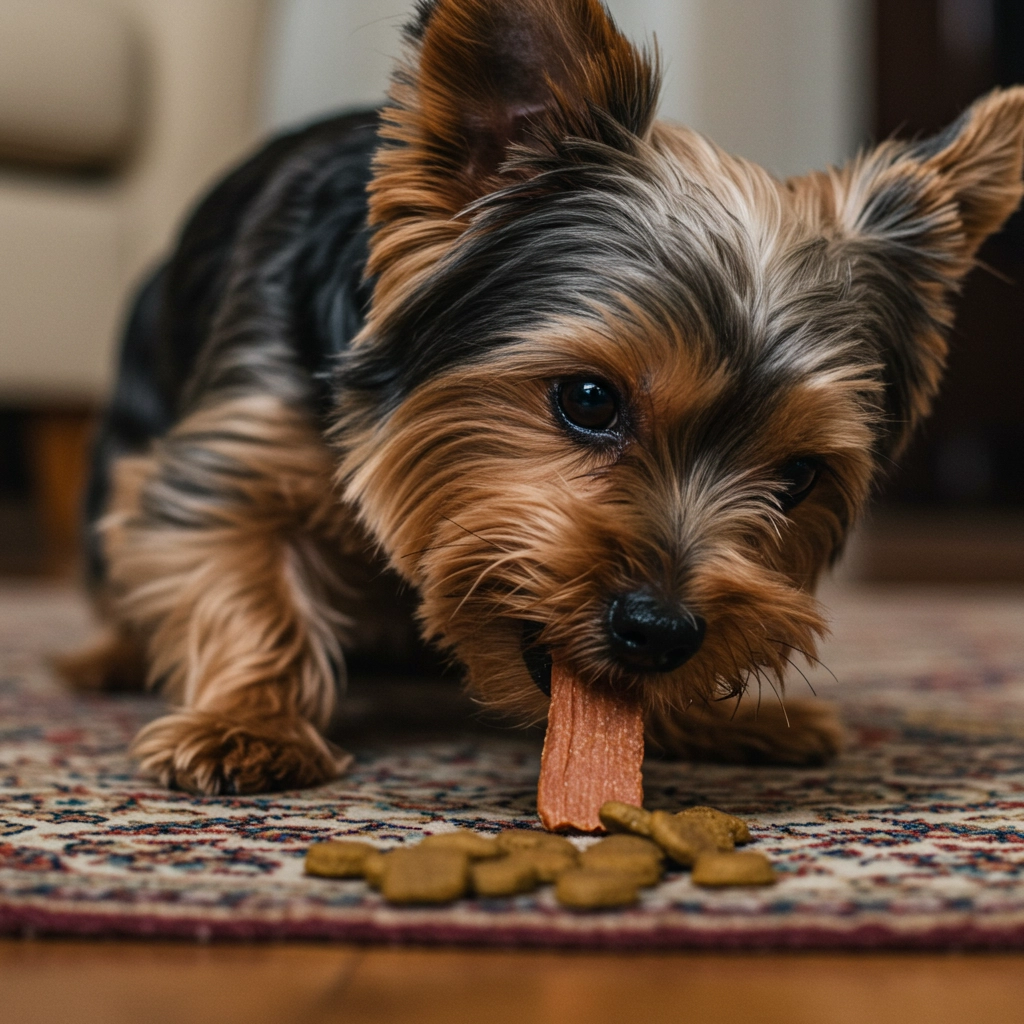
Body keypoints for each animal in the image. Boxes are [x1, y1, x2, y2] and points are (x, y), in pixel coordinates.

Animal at [64, 0, 1024, 798]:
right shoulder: (235, 448)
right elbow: (241, 579)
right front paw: (247, 725)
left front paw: (715, 718)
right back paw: (111, 657)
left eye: (798, 478)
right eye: (589, 399)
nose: (661, 629)